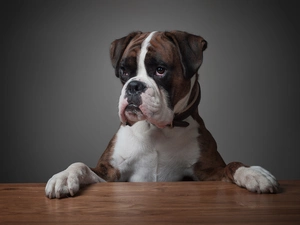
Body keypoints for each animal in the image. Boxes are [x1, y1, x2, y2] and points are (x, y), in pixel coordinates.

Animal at [45, 30, 278, 199]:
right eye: (124, 71)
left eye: (160, 70)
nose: (134, 86)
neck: (156, 130)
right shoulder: (108, 173)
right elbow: (81, 165)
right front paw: (63, 177)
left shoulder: (210, 173)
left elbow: (232, 165)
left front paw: (254, 173)